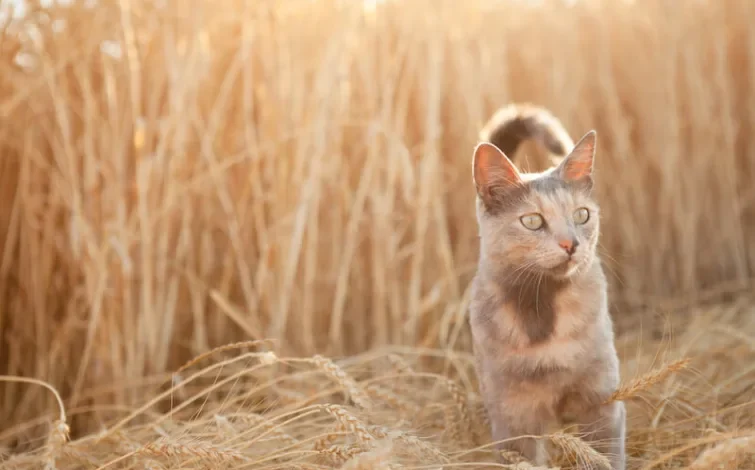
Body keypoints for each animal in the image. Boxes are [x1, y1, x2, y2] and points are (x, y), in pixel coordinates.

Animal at [470, 103, 628, 470]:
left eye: (582, 215)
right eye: (532, 221)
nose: (571, 244)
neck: (543, 306)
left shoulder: (601, 403)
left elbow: (605, 457)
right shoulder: (513, 418)